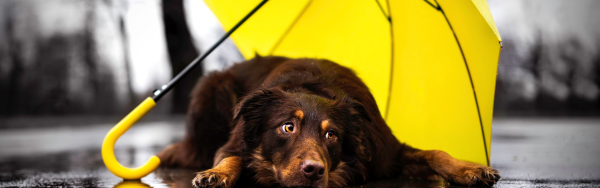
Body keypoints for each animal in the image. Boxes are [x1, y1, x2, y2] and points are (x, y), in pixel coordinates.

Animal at [157, 55, 500, 187]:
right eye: (288, 127)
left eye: (331, 134)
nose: (313, 171)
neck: (312, 88)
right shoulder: (235, 140)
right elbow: (232, 157)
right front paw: (217, 174)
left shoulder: (388, 152)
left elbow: (435, 153)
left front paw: (469, 169)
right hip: (211, 87)